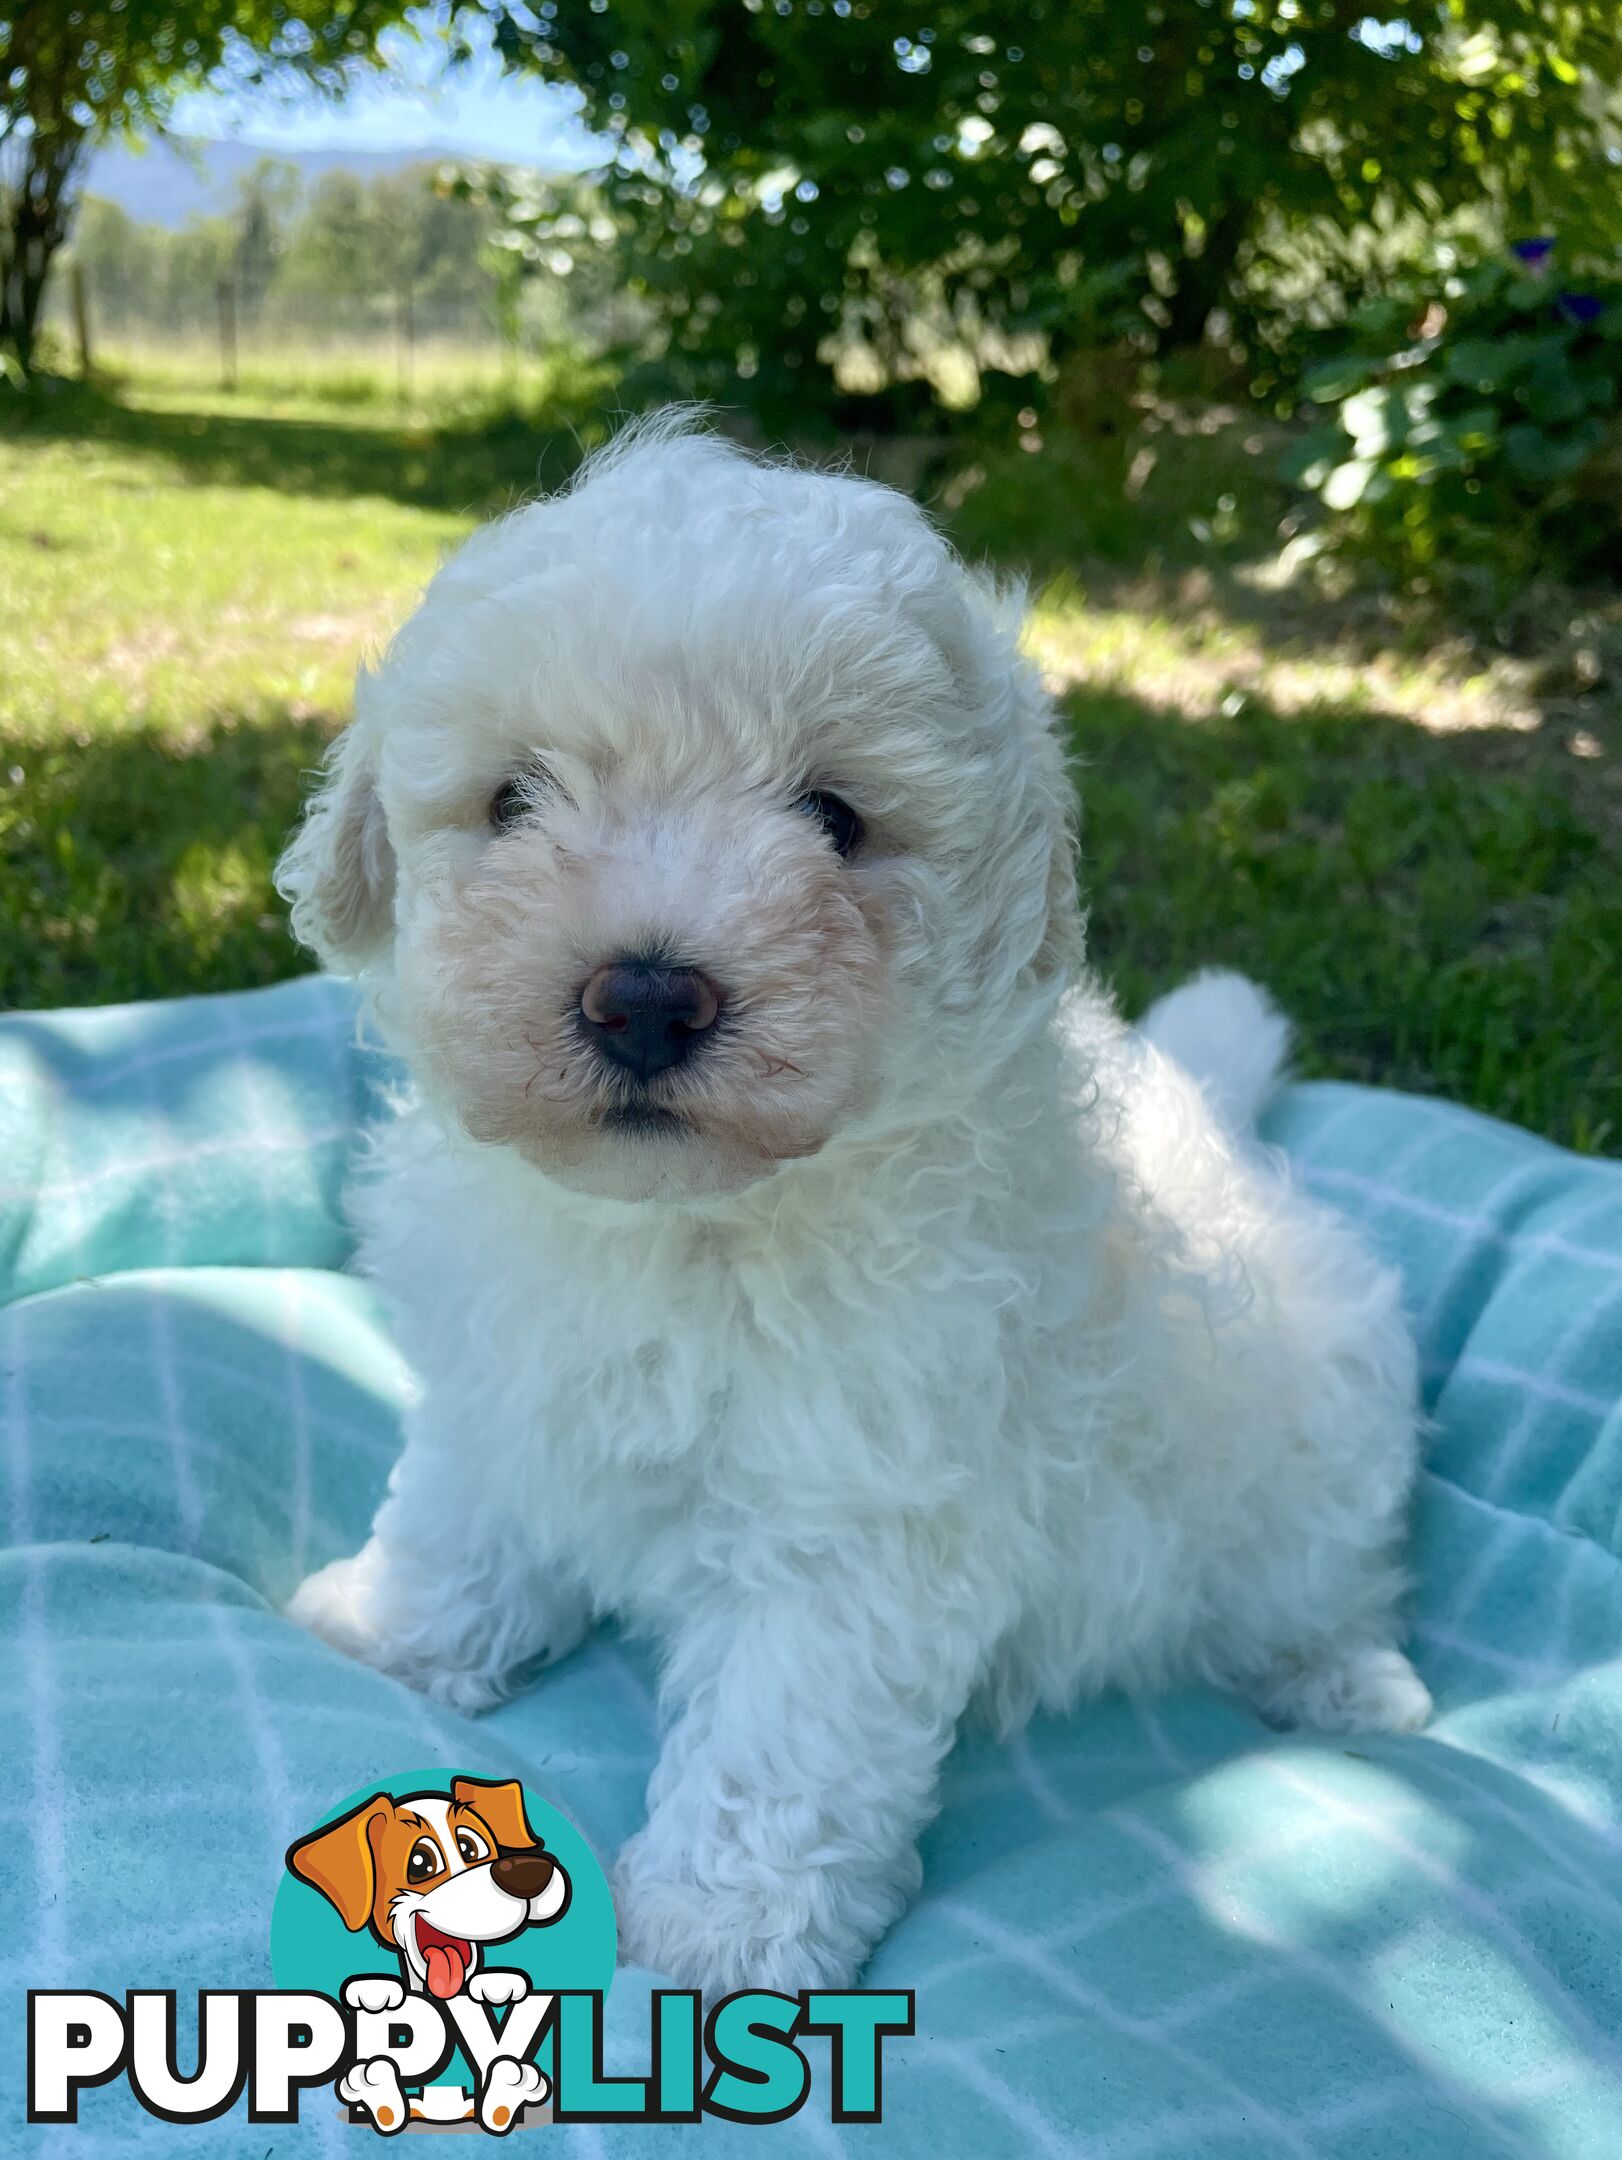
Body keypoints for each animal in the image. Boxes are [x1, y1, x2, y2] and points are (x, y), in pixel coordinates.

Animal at [285, 416, 1425, 1987]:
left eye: (834, 817)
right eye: (513, 800)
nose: (646, 997)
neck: (690, 1227)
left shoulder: (856, 1518)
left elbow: (782, 1733)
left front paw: (716, 1931)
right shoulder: (502, 1391)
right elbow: (457, 1522)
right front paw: (384, 1633)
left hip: (1318, 1443)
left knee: (1328, 1579)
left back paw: (1349, 1682)